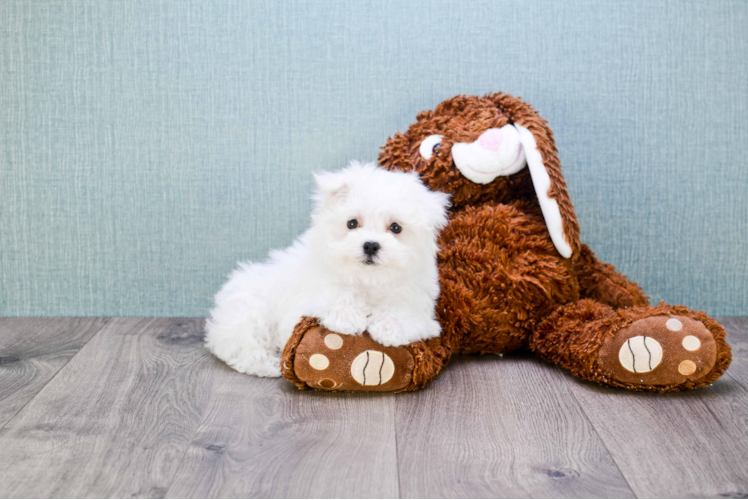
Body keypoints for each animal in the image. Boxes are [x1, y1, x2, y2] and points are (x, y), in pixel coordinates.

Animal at [203, 162, 450, 376]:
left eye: (396, 228)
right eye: (352, 223)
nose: (370, 245)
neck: (367, 280)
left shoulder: (420, 306)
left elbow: (404, 312)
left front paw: (389, 328)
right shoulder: (308, 294)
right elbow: (333, 295)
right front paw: (347, 318)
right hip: (248, 314)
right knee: (240, 347)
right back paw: (267, 365)